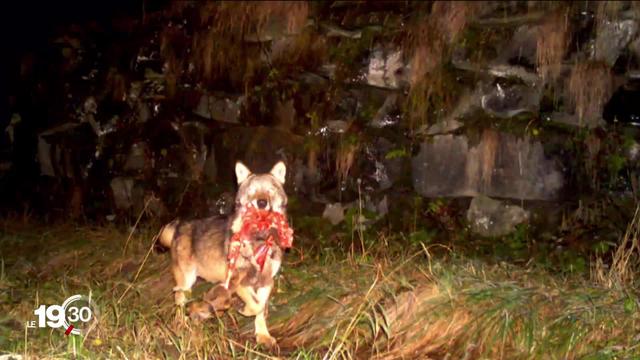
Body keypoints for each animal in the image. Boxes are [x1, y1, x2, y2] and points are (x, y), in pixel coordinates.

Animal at [159, 160, 288, 346]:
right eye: (251, 191)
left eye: (270, 189)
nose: (262, 202)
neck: (260, 239)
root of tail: (179, 224)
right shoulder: (241, 281)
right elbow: (256, 305)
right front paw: (243, 310)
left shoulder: (266, 281)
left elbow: (261, 309)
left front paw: (263, 336)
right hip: (187, 280)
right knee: (179, 299)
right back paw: (182, 326)